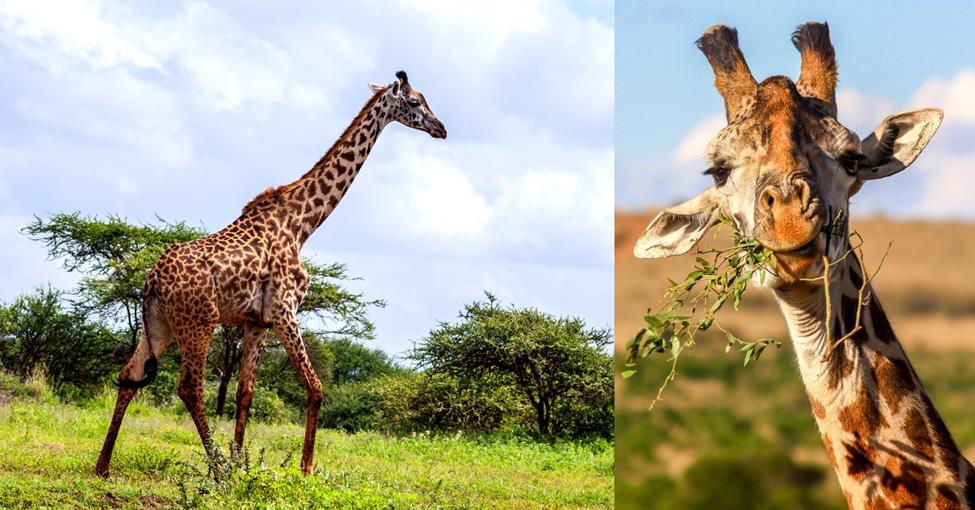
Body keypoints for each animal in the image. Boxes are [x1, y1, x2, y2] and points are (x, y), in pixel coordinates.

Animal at [94, 70, 446, 477]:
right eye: (415, 102)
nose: (441, 128)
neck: (302, 224)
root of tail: (151, 280)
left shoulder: (256, 321)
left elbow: (244, 392)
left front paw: (241, 463)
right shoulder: (284, 310)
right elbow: (315, 387)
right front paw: (304, 469)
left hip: (160, 324)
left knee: (130, 375)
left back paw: (103, 466)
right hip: (199, 322)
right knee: (189, 387)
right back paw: (216, 470)